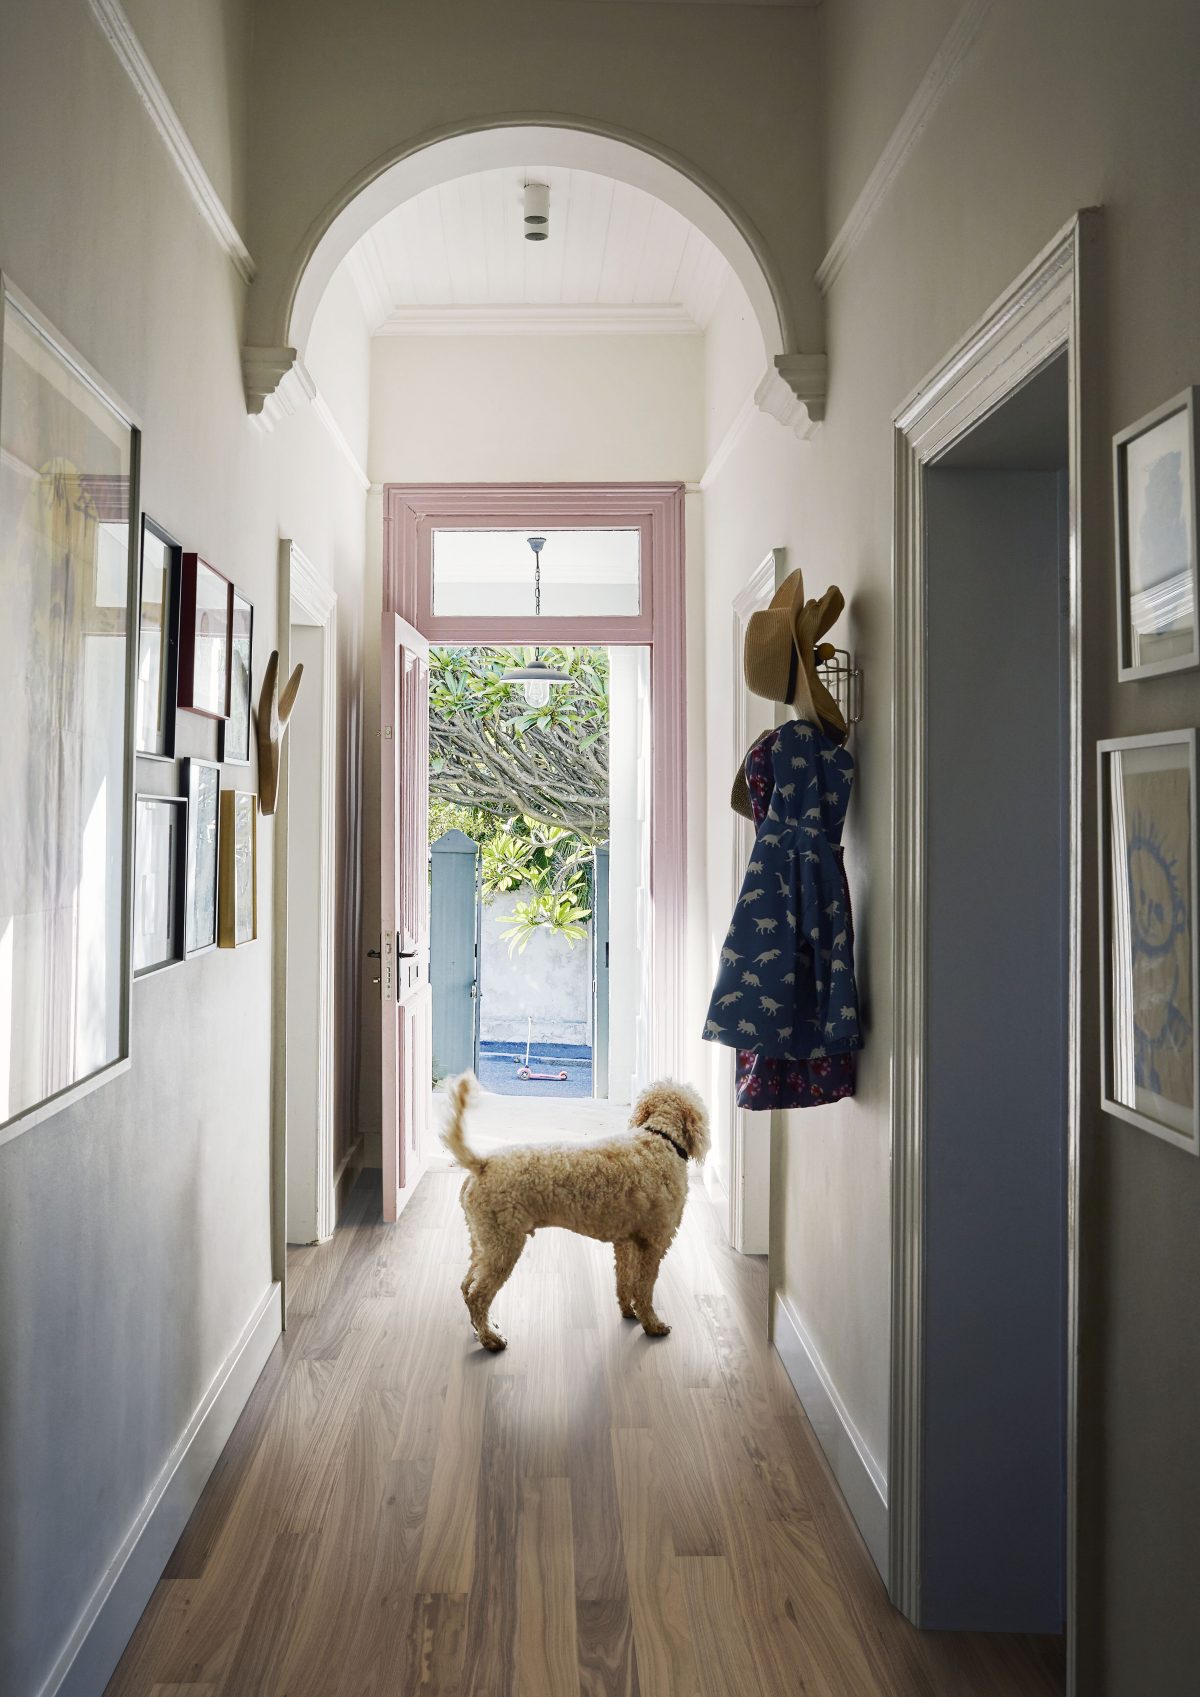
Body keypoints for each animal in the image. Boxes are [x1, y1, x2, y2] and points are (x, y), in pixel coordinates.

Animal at [444, 1072, 709, 1350]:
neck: (660, 1139)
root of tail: (482, 1163)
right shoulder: (652, 1244)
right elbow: (644, 1289)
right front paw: (652, 1324)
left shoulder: (627, 1242)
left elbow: (625, 1282)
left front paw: (629, 1312)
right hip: (503, 1245)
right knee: (478, 1295)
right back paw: (491, 1339)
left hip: (483, 1241)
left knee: (467, 1286)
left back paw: (485, 1328)